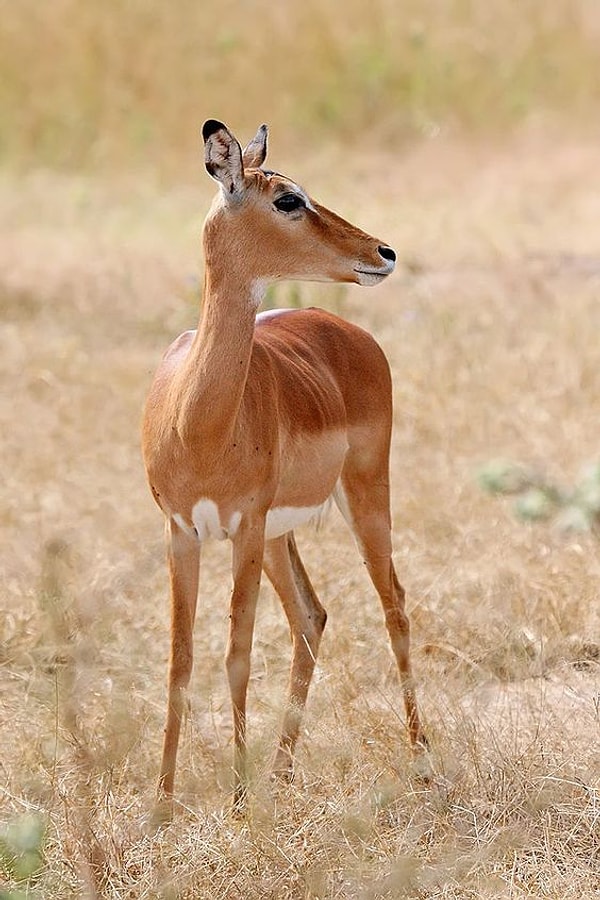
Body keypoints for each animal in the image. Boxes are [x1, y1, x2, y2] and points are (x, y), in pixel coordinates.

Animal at [142, 116, 426, 820]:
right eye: (288, 199)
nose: (384, 252)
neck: (198, 422)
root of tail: (342, 328)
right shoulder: (181, 532)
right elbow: (180, 659)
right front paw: (161, 804)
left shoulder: (242, 527)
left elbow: (237, 654)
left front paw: (240, 800)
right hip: (279, 535)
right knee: (311, 616)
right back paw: (282, 771)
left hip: (362, 496)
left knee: (394, 603)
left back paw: (422, 762)